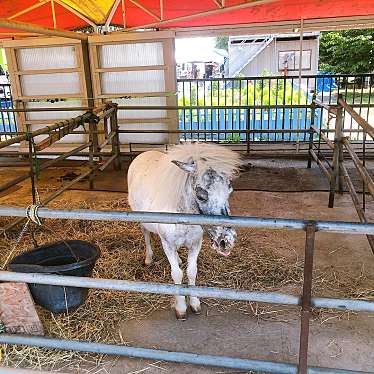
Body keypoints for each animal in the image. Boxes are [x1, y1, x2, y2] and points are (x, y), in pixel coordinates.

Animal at [127, 142, 241, 318]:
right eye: (201, 195)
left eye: (229, 191)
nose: (226, 241)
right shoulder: (168, 244)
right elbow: (177, 274)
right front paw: (181, 308)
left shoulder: (195, 243)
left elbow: (191, 271)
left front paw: (194, 304)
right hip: (142, 220)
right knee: (146, 235)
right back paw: (148, 258)